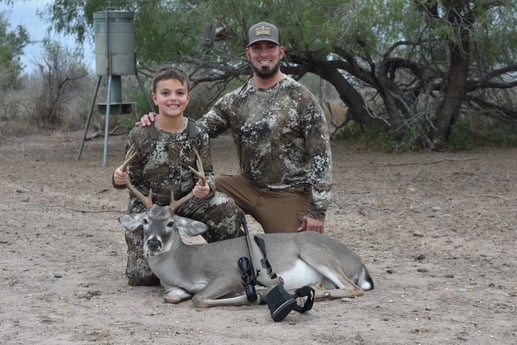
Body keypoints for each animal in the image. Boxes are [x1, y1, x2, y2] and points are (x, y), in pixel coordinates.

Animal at [117, 148, 372, 306]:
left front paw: (256, 295)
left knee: (353, 288)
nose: (153, 243)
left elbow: (199, 299)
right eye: (145, 221)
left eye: (170, 223)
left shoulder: (228, 274)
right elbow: (172, 297)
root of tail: (358, 262)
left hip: (317, 252)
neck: (182, 265)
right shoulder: (174, 287)